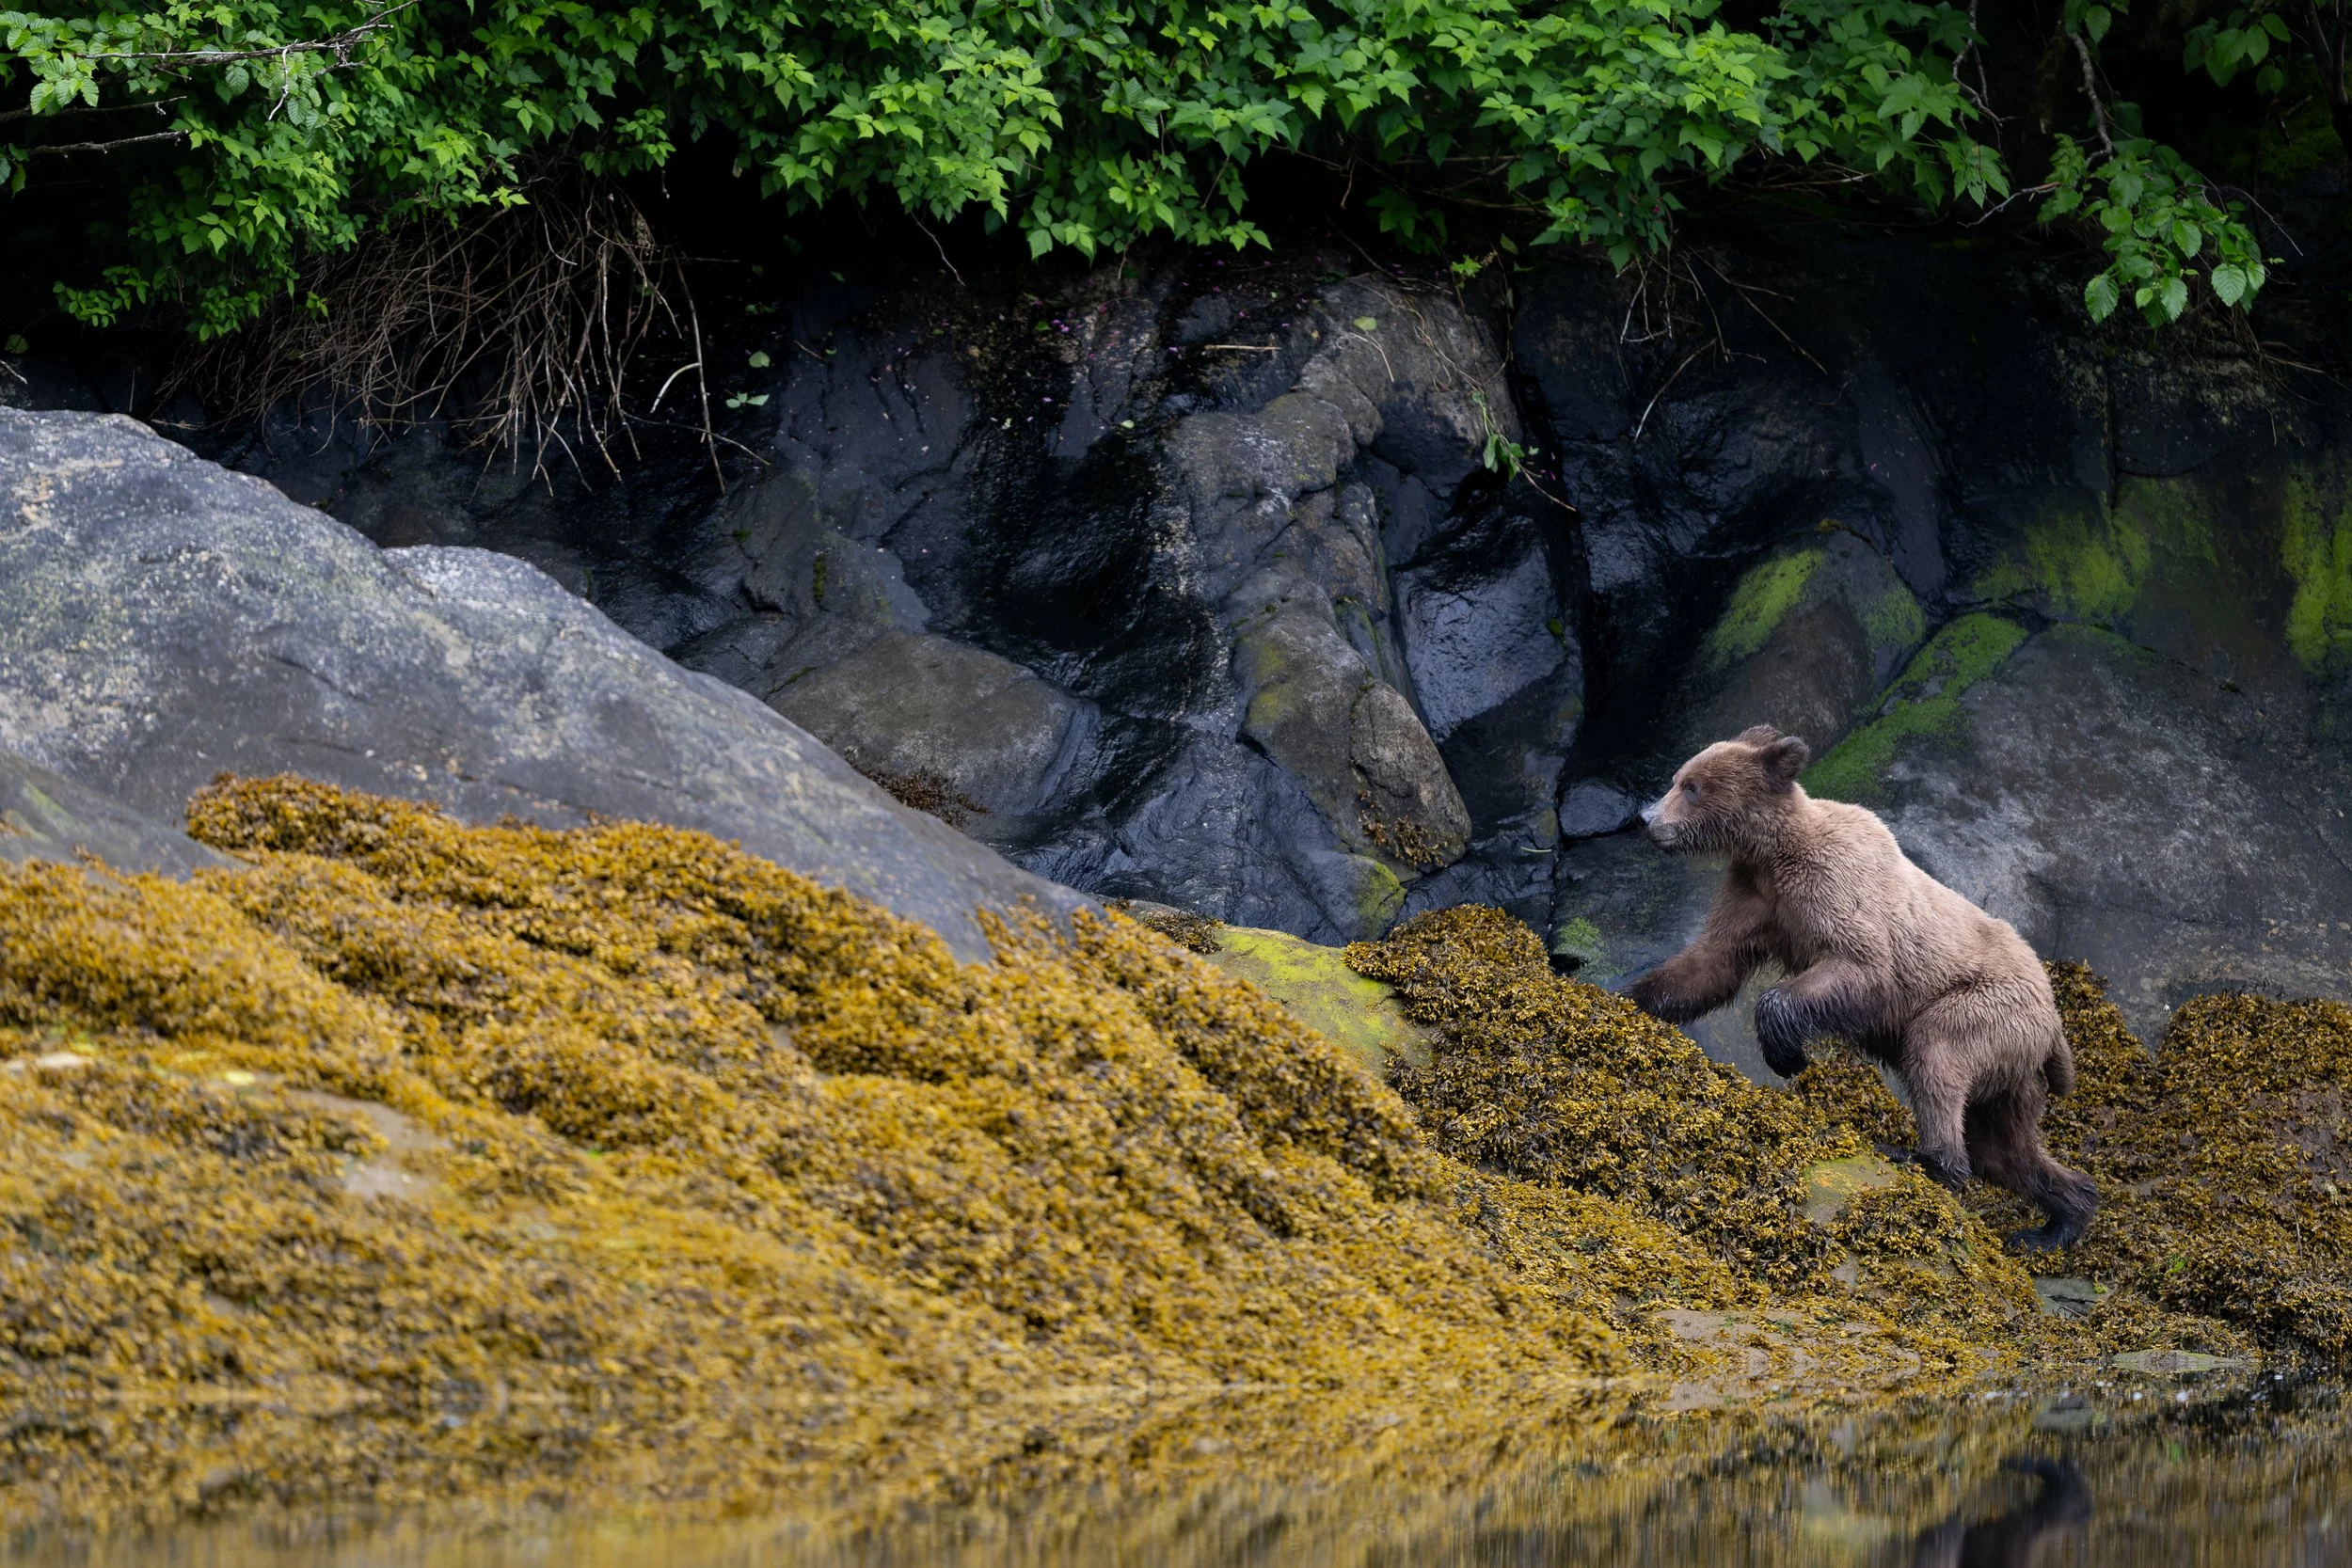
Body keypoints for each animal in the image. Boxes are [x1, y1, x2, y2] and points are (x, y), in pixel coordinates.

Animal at [1622, 725, 2097, 1251]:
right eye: (1679, 777)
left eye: (1692, 786)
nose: (1646, 819)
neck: (1773, 855)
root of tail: (2054, 1018)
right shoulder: (1753, 898)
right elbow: (1709, 964)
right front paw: (1631, 996)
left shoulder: (1835, 890)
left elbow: (1860, 967)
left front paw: (1788, 1055)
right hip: (2012, 1067)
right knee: (2007, 1146)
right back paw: (2055, 1221)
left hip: (1985, 1008)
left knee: (1937, 1055)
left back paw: (1927, 1159)